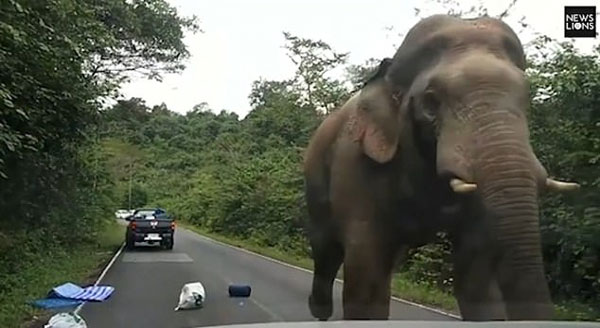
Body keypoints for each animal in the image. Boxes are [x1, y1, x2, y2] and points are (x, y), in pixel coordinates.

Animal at [302, 14, 580, 322]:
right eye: (431, 103)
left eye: (527, 96)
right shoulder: (356, 164)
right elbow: (366, 275)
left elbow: (477, 277)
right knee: (326, 250)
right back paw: (320, 311)